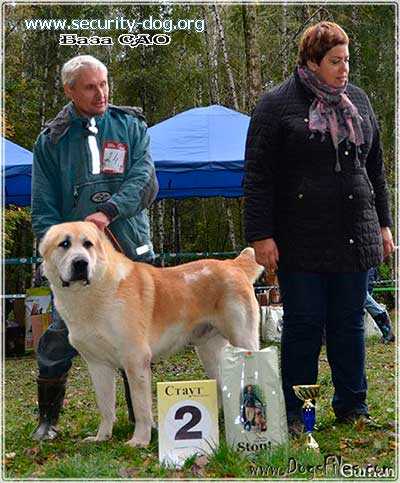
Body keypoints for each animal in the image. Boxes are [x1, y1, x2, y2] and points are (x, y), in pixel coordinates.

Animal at [39, 221, 264, 448]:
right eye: (64, 244)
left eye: (88, 244)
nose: (80, 263)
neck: (92, 294)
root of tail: (233, 264)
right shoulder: (98, 365)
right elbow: (105, 406)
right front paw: (101, 437)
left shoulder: (135, 359)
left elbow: (141, 407)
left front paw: (139, 440)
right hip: (209, 352)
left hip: (243, 340)